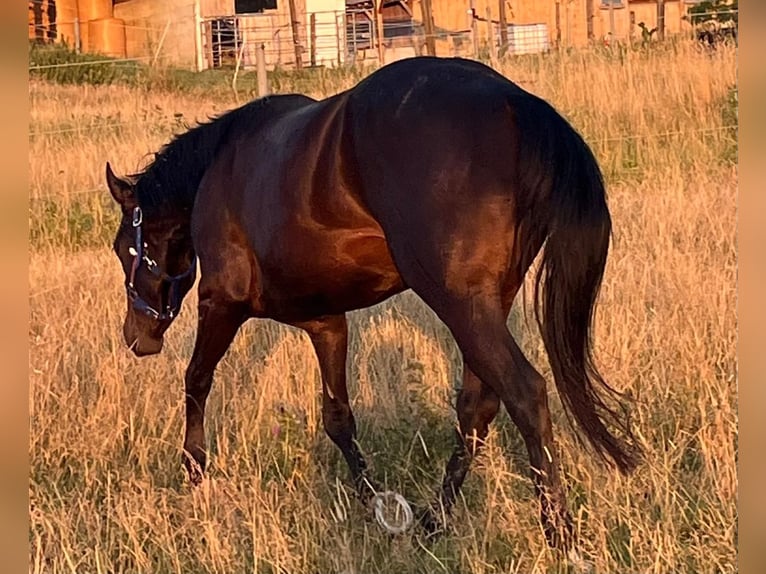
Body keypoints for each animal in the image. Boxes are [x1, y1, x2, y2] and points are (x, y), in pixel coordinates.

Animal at [106, 56, 640, 548]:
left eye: (125, 248)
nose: (136, 338)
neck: (223, 166)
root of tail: (515, 103)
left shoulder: (220, 303)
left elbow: (196, 380)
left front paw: (194, 468)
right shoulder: (326, 323)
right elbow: (338, 419)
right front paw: (375, 503)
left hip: (462, 306)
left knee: (526, 394)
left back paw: (558, 532)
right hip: (488, 306)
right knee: (477, 407)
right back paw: (433, 521)